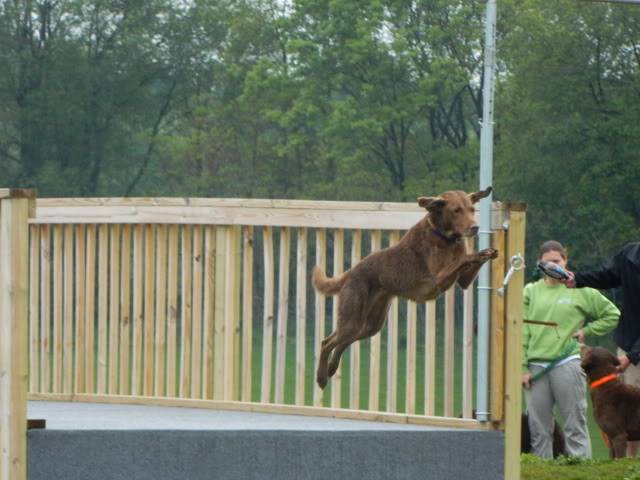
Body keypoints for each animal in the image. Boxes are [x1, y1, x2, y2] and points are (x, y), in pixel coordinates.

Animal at [312, 188, 498, 390]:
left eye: (472, 209)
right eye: (456, 210)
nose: (475, 227)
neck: (444, 236)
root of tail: (349, 273)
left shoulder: (463, 281)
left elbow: (468, 262)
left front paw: (488, 253)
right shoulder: (437, 278)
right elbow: (463, 259)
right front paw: (479, 253)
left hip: (370, 325)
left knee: (340, 343)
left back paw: (331, 368)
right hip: (352, 318)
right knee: (326, 342)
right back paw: (321, 377)